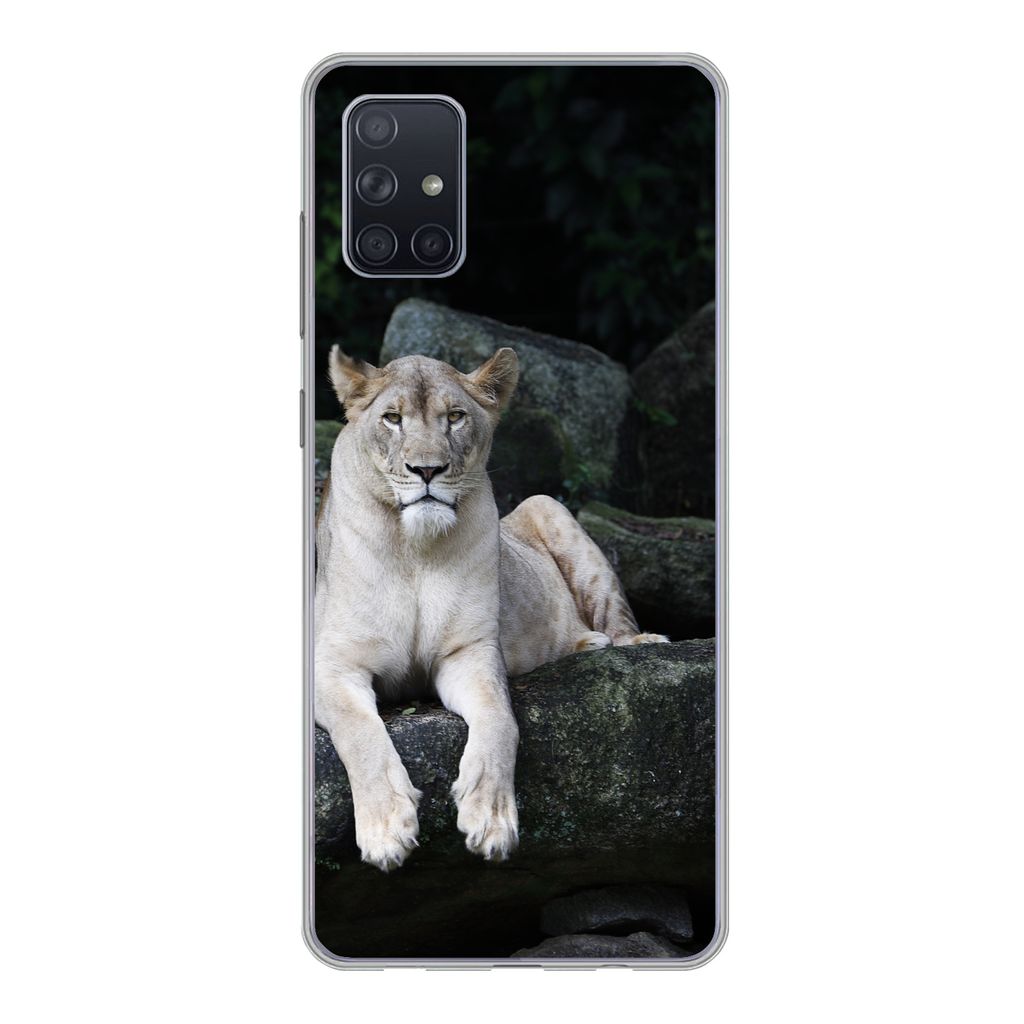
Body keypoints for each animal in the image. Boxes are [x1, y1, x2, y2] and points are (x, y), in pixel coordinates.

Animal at [315, 345, 667, 872]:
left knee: (615, 617)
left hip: (548, 506)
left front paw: (491, 819)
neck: (414, 549)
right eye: (392, 419)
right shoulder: (332, 665)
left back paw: (622, 641)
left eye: (455, 417)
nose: (427, 470)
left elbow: (502, 721)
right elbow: (359, 731)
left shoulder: (470, 652)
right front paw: (386, 831)